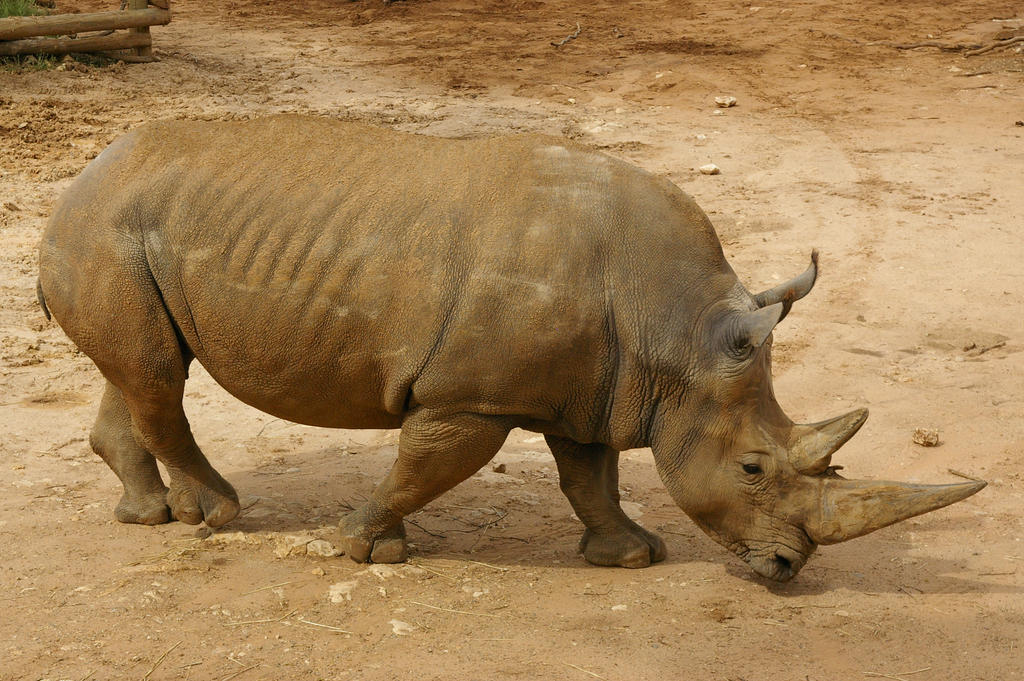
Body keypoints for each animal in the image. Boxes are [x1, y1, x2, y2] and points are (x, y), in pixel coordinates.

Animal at [37, 115, 983, 581]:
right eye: (753, 468)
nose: (787, 568)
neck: (676, 333)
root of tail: (82, 174)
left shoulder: (598, 384)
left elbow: (590, 475)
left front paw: (631, 555)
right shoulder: (470, 394)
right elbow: (425, 466)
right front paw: (367, 545)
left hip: (127, 231)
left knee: (145, 367)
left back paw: (151, 516)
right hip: (107, 228)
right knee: (157, 373)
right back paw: (220, 514)